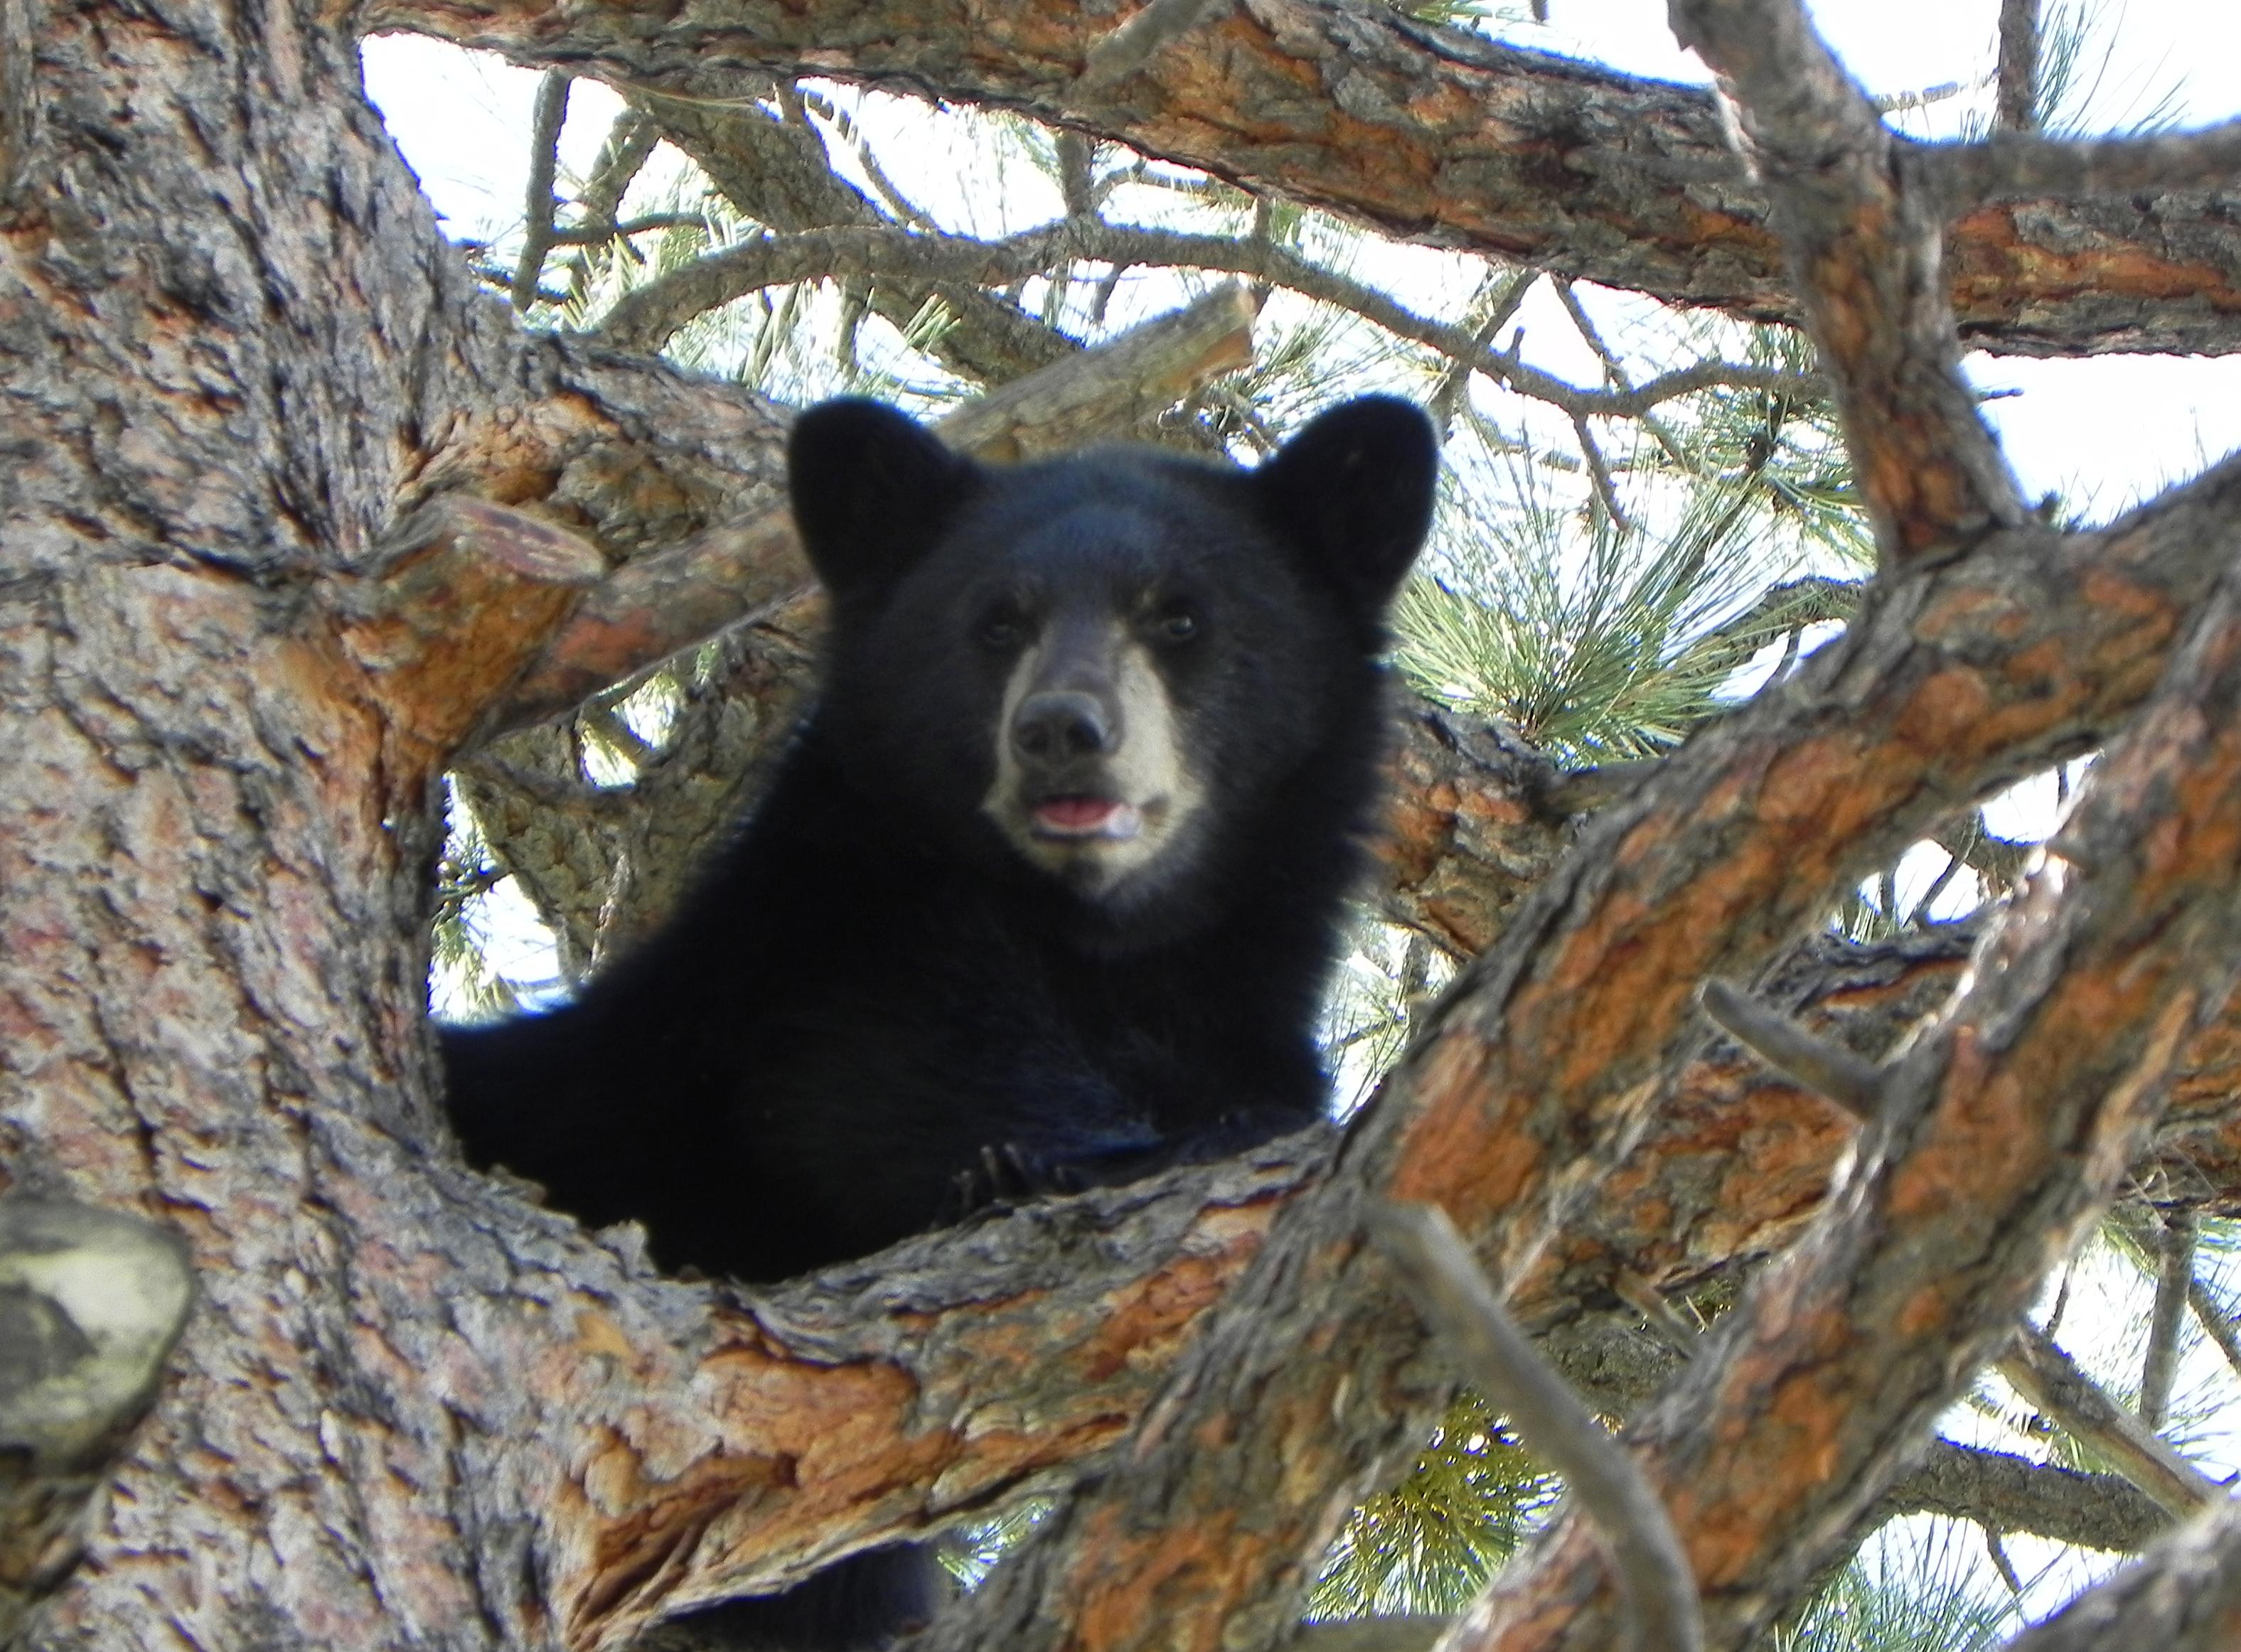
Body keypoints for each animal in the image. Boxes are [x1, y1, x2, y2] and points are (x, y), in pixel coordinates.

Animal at [441, 392, 1434, 1641]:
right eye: (998, 620)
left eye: (1181, 618)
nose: (1063, 729)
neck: (1097, 946)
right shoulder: (835, 963)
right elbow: (873, 1088)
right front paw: (1080, 1157)